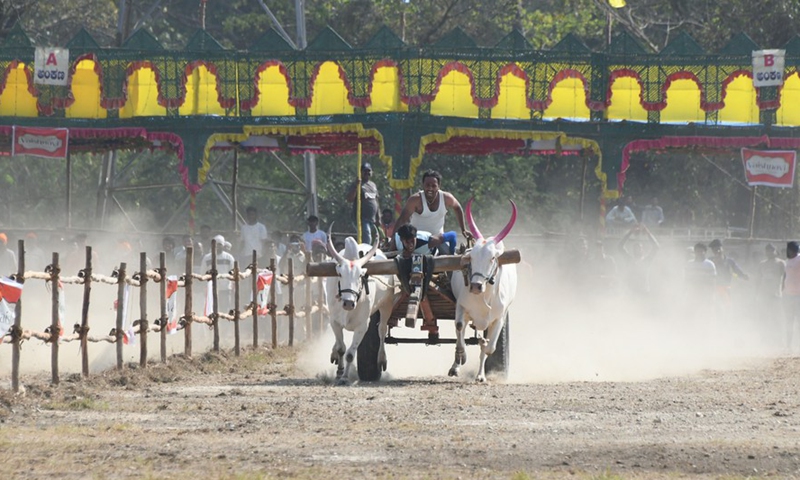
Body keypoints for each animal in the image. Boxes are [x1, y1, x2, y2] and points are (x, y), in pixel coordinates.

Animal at [326, 233, 396, 386]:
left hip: (386, 305)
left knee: (382, 330)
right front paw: (339, 373)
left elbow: (350, 354)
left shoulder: (362, 326)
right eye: (340, 274)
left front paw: (345, 377)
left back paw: (381, 359)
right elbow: (341, 348)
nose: (348, 303)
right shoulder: (334, 321)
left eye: (360, 275)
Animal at [450, 199, 520, 382]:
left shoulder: (499, 318)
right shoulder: (461, 306)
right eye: (471, 257)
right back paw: (455, 366)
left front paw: (481, 374)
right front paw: (461, 357)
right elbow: (459, 328)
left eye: (492, 258)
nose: (475, 286)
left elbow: (488, 348)